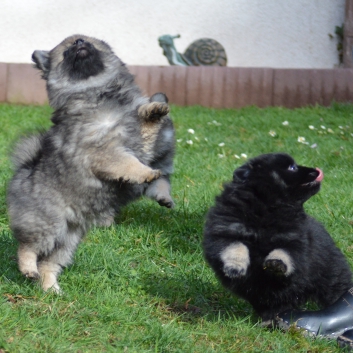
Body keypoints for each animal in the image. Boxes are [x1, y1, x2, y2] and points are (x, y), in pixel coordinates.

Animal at [8, 33, 176, 292]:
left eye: (84, 40)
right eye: (67, 50)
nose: (78, 43)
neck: (98, 91)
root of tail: (23, 171)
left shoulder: (143, 141)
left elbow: (156, 169)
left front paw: (154, 109)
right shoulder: (105, 150)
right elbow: (129, 164)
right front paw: (145, 171)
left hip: (68, 241)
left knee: (49, 263)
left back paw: (51, 289)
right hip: (47, 224)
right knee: (27, 247)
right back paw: (28, 268)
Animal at [202, 153, 350, 320]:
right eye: (292, 167)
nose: (317, 170)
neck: (268, 207)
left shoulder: (293, 239)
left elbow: (284, 252)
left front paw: (276, 264)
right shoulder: (225, 230)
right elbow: (236, 246)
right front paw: (235, 266)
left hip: (330, 275)